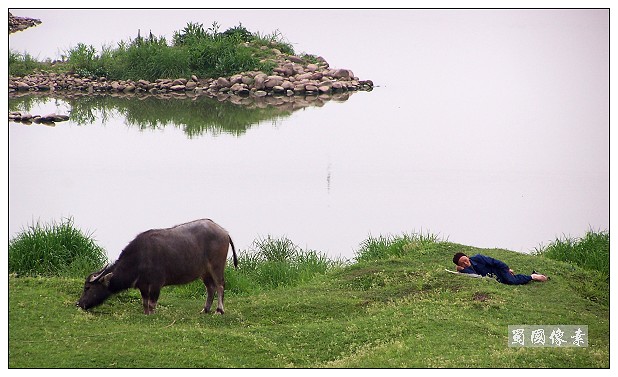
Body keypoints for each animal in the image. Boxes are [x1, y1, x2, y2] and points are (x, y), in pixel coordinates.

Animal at [75, 217, 238, 314]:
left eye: (87, 288)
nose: (79, 303)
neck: (139, 258)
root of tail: (224, 232)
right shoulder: (143, 286)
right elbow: (145, 303)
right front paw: (146, 314)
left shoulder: (156, 284)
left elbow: (152, 303)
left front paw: (152, 314)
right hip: (204, 272)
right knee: (210, 288)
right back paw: (205, 309)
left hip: (217, 266)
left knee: (220, 285)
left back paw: (219, 310)